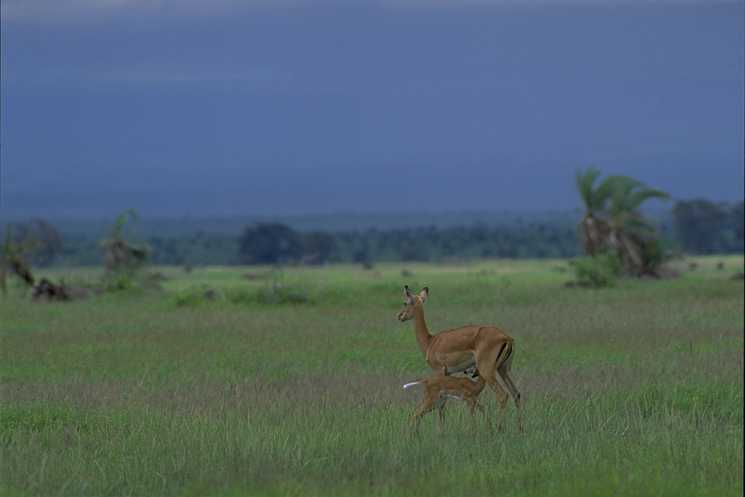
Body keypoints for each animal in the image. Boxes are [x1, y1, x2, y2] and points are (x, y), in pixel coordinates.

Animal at [396, 285, 523, 431]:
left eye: (405, 302)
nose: (399, 316)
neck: (430, 341)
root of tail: (507, 337)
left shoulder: (439, 371)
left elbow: (442, 406)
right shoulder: (448, 374)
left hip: (487, 371)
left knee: (502, 396)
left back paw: (499, 428)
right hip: (503, 369)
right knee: (516, 394)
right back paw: (520, 429)